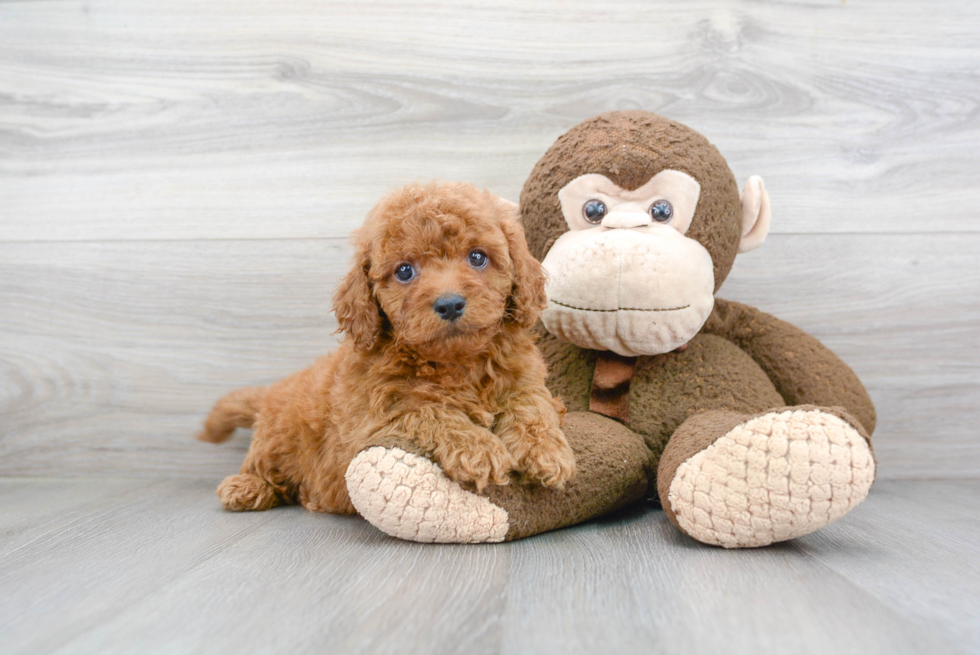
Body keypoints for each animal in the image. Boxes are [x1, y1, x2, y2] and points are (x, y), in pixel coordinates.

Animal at [198, 182, 576, 516]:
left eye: (478, 257)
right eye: (405, 271)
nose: (450, 304)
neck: (457, 362)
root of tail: (276, 389)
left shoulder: (526, 380)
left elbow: (530, 405)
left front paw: (544, 451)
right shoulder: (377, 417)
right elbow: (429, 411)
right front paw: (478, 448)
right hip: (276, 439)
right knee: (262, 466)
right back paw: (246, 487)